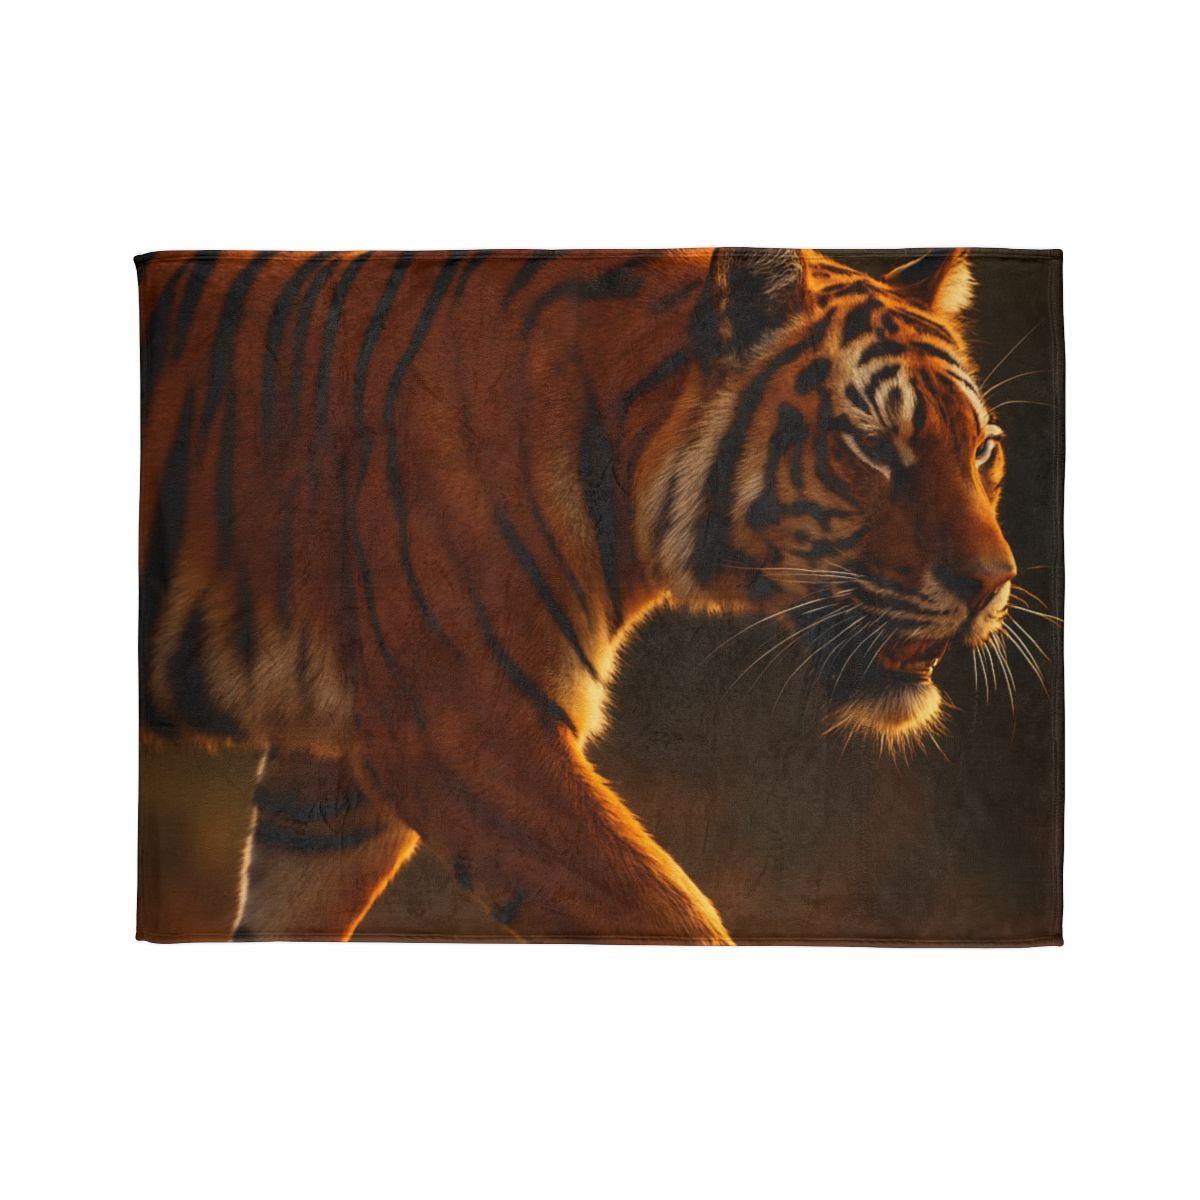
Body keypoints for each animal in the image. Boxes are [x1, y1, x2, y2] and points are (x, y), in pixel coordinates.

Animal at [137, 246, 1016, 945]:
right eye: (871, 445)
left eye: (982, 449)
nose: (993, 582)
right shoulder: (469, 731)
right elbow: (672, 915)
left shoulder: (334, 779)